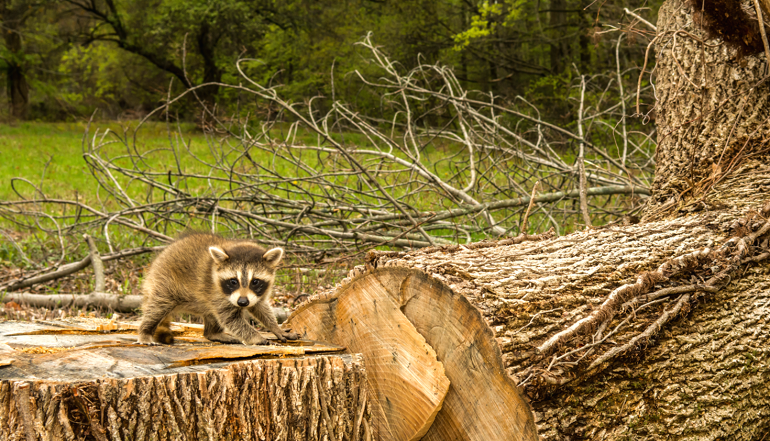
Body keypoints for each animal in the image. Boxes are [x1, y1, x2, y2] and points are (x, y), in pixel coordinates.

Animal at [136, 232, 296, 346]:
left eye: (255, 281)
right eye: (233, 281)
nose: (242, 302)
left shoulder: (256, 294)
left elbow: (261, 308)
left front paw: (275, 327)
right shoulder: (217, 293)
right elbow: (231, 320)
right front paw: (256, 337)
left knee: (211, 316)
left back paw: (213, 333)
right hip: (164, 283)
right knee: (157, 307)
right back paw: (145, 331)